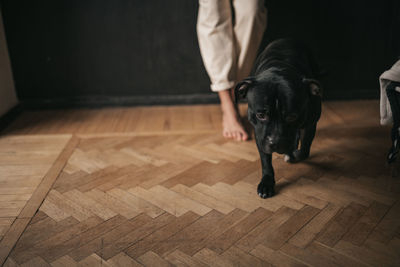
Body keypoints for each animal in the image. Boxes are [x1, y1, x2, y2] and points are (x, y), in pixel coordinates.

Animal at [234, 39, 322, 199]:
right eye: (261, 115)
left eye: (292, 116)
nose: (275, 143)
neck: (278, 70)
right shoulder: (260, 135)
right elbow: (265, 161)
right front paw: (267, 182)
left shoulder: (311, 123)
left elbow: (305, 147)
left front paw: (295, 153)